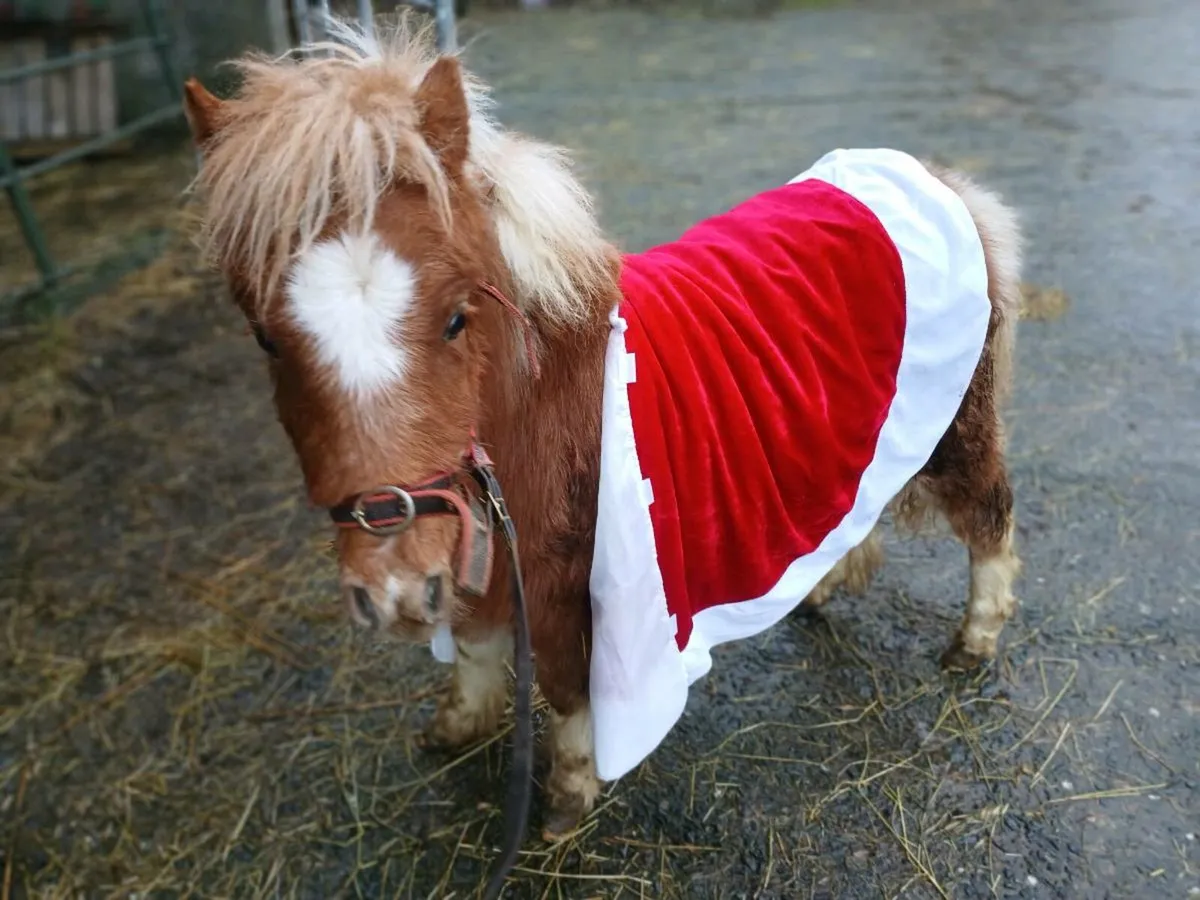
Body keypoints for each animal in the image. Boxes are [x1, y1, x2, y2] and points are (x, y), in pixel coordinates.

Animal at [182, 13, 1022, 850]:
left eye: (457, 317)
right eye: (265, 338)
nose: (392, 593)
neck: (538, 400)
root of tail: (943, 186)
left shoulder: (567, 582)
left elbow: (565, 683)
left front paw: (566, 797)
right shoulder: (482, 552)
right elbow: (477, 645)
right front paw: (458, 726)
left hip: (957, 425)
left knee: (988, 516)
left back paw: (973, 641)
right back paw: (822, 591)